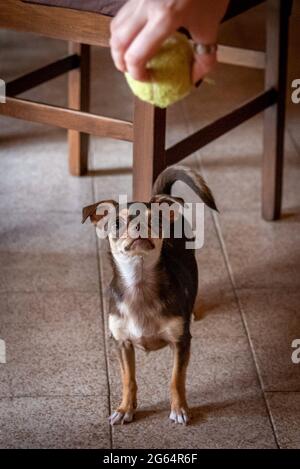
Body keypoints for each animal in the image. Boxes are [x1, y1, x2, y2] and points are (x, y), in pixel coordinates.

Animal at [81, 165, 217, 424]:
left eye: (153, 219)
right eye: (116, 223)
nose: (138, 227)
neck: (139, 283)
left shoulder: (181, 342)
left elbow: (176, 379)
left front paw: (179, 409)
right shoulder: (122, 343)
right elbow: (128, 379)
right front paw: (125, 409)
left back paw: (193, 310)